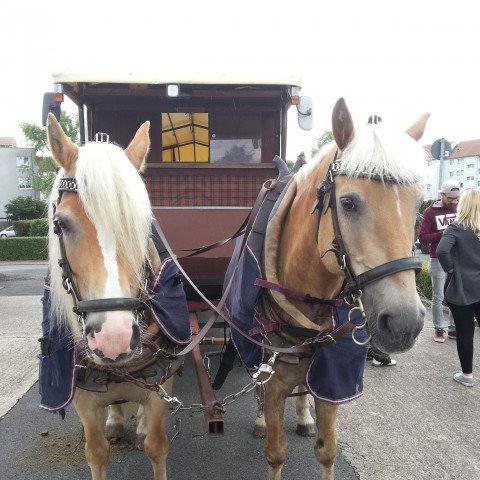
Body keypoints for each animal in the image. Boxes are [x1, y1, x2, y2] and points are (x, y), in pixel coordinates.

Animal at [225, 98, 428, 480]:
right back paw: (260, 418)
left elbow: (327, 449)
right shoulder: (273, 379)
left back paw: (304, 415)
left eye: (417, 205)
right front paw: (266, 425)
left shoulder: (331, 377)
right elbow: (275, 451)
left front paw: (310, 421)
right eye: (348, 203)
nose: (405, 322)